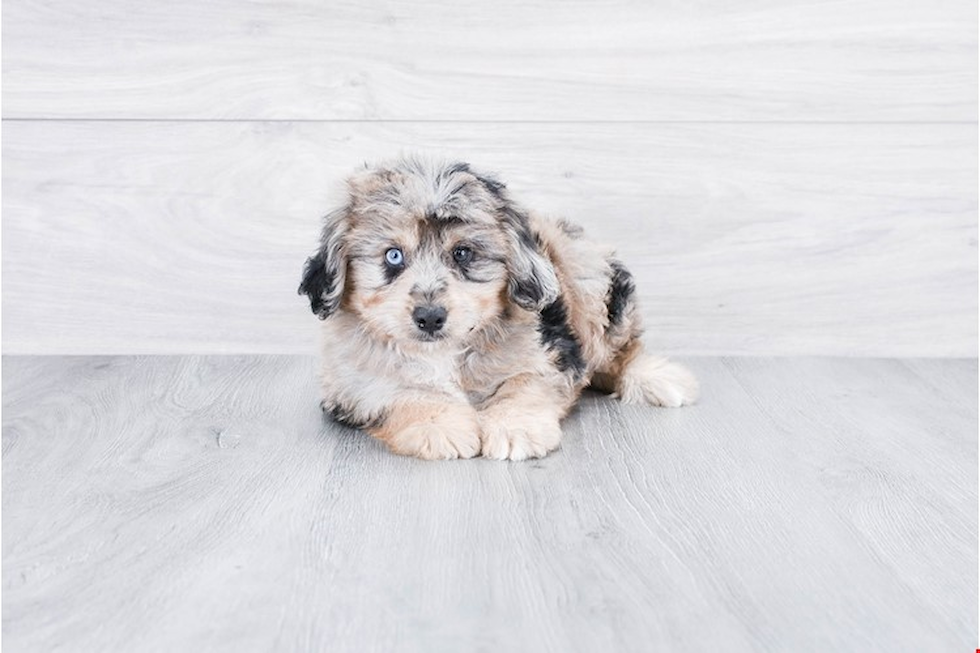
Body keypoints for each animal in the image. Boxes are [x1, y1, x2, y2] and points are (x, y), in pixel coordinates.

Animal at [296, 156, 696, 460]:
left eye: (463, 253)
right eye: (393, 256)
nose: (430, 317)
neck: (442, 353)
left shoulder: (546, 354)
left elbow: (524, 386)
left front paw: (516, 428)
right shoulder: (350, 384)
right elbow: (400, 392)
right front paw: (438, 425)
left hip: (593, 282)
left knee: (620, 351)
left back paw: (656, 377)